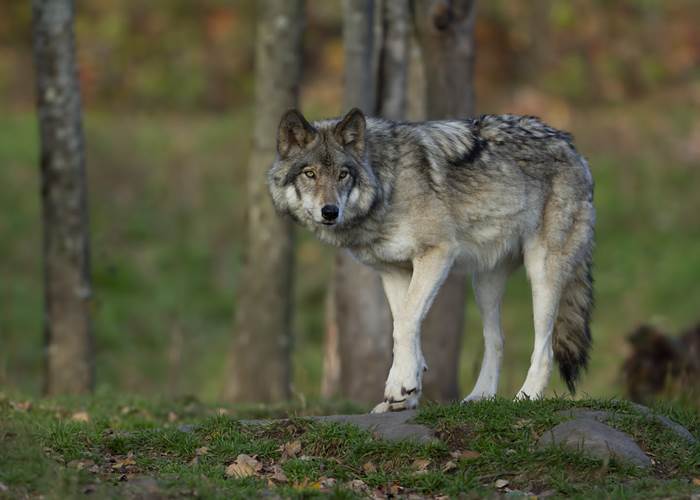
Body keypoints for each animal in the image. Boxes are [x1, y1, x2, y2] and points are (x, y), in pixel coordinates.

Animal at [267, 108, 595, 413]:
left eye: (342, 174)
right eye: (309, 174)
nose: (330, 211)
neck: (387, 184)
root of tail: (572, 147)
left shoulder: (437, 253)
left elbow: (406, 322)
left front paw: (400, 385)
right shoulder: (394, 271)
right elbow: (404, 324)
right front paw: (406, 392)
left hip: (542, 274)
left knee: (544, 347)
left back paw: (526, 397)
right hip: (484, 284)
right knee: (496, 340)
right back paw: (480, 397)